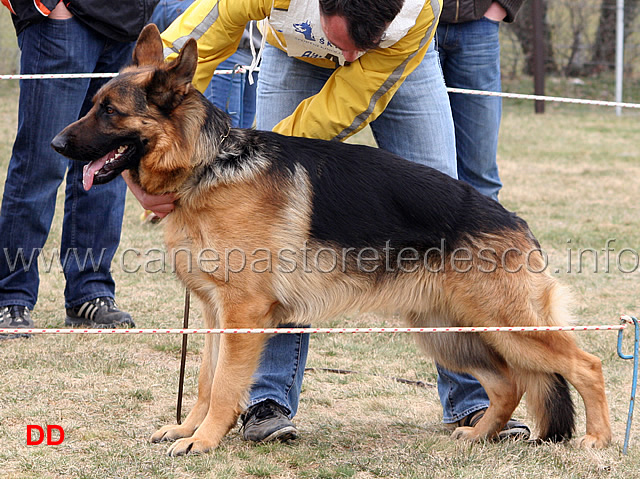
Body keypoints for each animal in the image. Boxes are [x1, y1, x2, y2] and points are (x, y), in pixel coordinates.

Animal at [50, 25, 608, 458]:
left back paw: (597, 440)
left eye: (110, 112)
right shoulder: (214, 314)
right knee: (510, 383)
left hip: (506, 325)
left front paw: (203, 441)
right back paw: (478, 436)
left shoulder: (243, 316)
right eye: (93, 105)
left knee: (586, 364)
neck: (208, 166)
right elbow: (206, 380)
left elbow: (225, 384)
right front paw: (189, 430)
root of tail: (516, 221)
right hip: (449, 332)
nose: (55, 143)